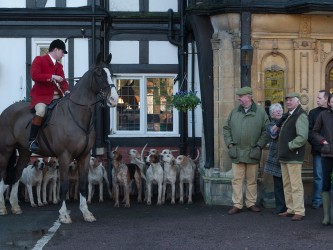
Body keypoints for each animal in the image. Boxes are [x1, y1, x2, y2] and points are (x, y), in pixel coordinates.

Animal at [0, 53, 118, 223]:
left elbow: (83, 184)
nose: (114, 99)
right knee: (3, 175)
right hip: (6, 150)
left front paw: (86, 213)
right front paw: (63, 215)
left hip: (24, 151)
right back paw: (3, 208)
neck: (77, 114)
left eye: (111, 73)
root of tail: (6, 111)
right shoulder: (64, 156)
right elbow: (64, 184)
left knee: (16, 174)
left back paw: (15, 207)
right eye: (99, 74)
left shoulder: (84, 156)